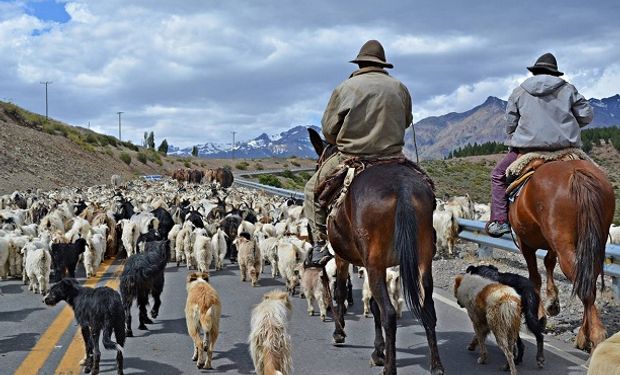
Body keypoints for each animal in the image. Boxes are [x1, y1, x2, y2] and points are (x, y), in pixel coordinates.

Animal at [308, 128, 444, 374]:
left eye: (317, 164)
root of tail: (402, 187)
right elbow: (372, 304)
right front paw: (378, 350)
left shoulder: (345, 258)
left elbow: (341, 292)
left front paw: (340, 333)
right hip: (422, 260)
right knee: (427, 307)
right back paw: (436, 365)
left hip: (374, 264)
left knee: (389, 312)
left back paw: (390, 368)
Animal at [508, 157, 616, 352]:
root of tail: (576, 173)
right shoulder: (551, 243)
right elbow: (549, 262)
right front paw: (552, 303)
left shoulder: (524, 242)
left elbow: (535, 277)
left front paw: (540, 315)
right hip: (591, 243)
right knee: (587, 281)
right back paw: (584, 335)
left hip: (563, 243)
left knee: (583, 285)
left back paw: (596, 335)